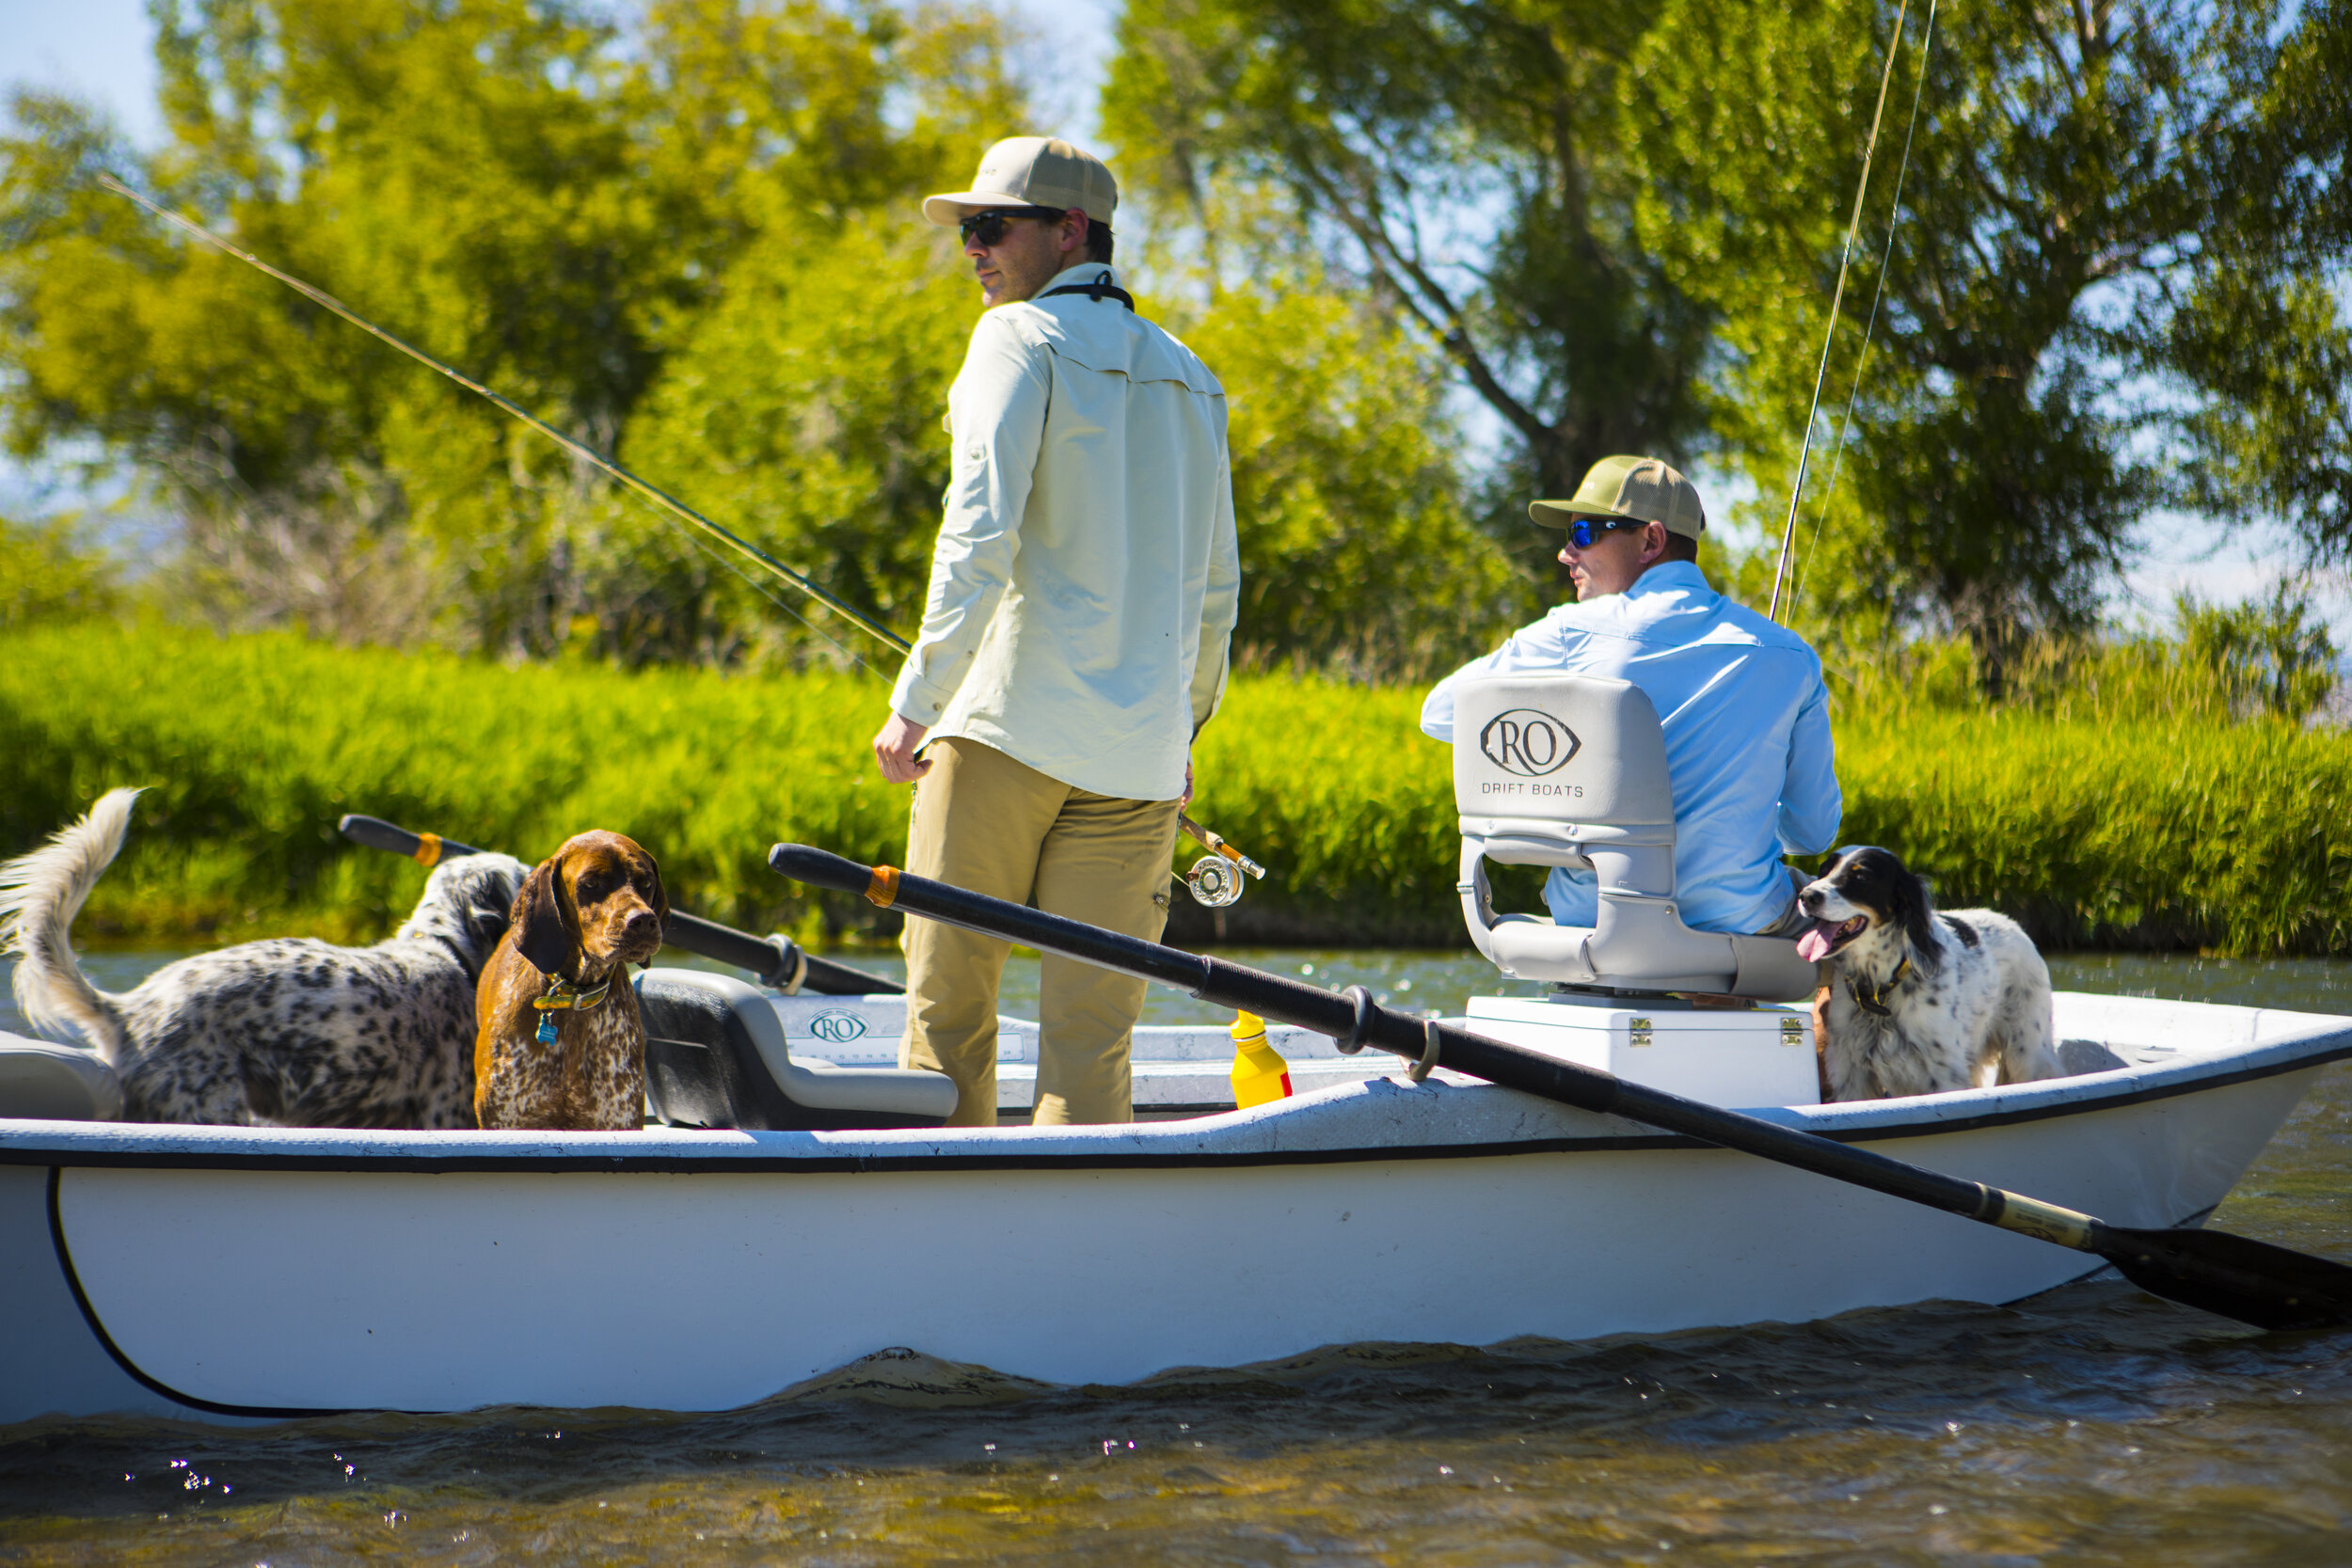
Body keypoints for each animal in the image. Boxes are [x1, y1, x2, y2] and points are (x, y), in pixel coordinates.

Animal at [472, 832, 668, 1128]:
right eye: (591, 883)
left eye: (646, 882)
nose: (644, 920)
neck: (574, 994)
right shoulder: (505, 1121)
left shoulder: (619, 1120)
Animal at [1797, 846, 2060, 1104]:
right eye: (1824, 870)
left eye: (1860, 876)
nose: (1806, 895)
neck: (1882, 987)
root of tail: (2013, 924)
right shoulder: (1851, 1072)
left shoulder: (1944, 1072)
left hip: (2028, 1053)